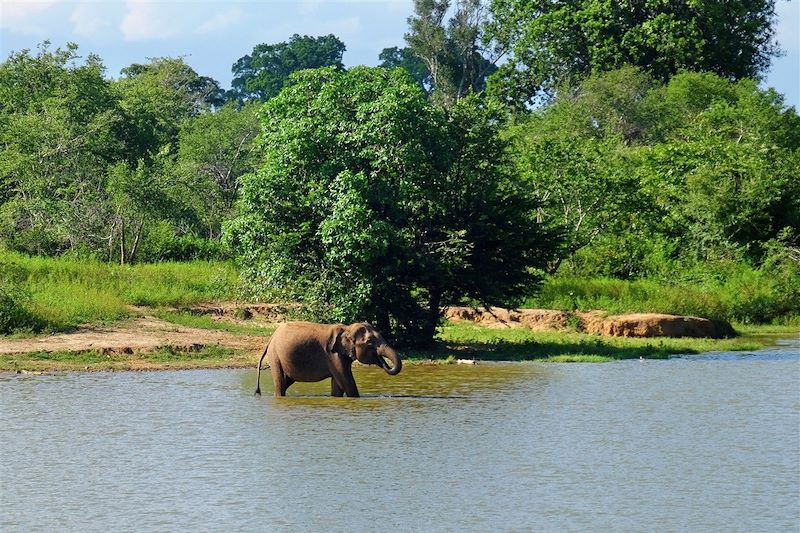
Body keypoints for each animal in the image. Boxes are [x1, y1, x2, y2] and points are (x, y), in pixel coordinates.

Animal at [256, 320, 404, 394]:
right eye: (369, 341)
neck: (347, 328)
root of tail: (272, 337)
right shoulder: (333, 355)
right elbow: (346, 382)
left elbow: (338, 385)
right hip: (275, 355)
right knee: (280, 382)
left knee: (286, 382)